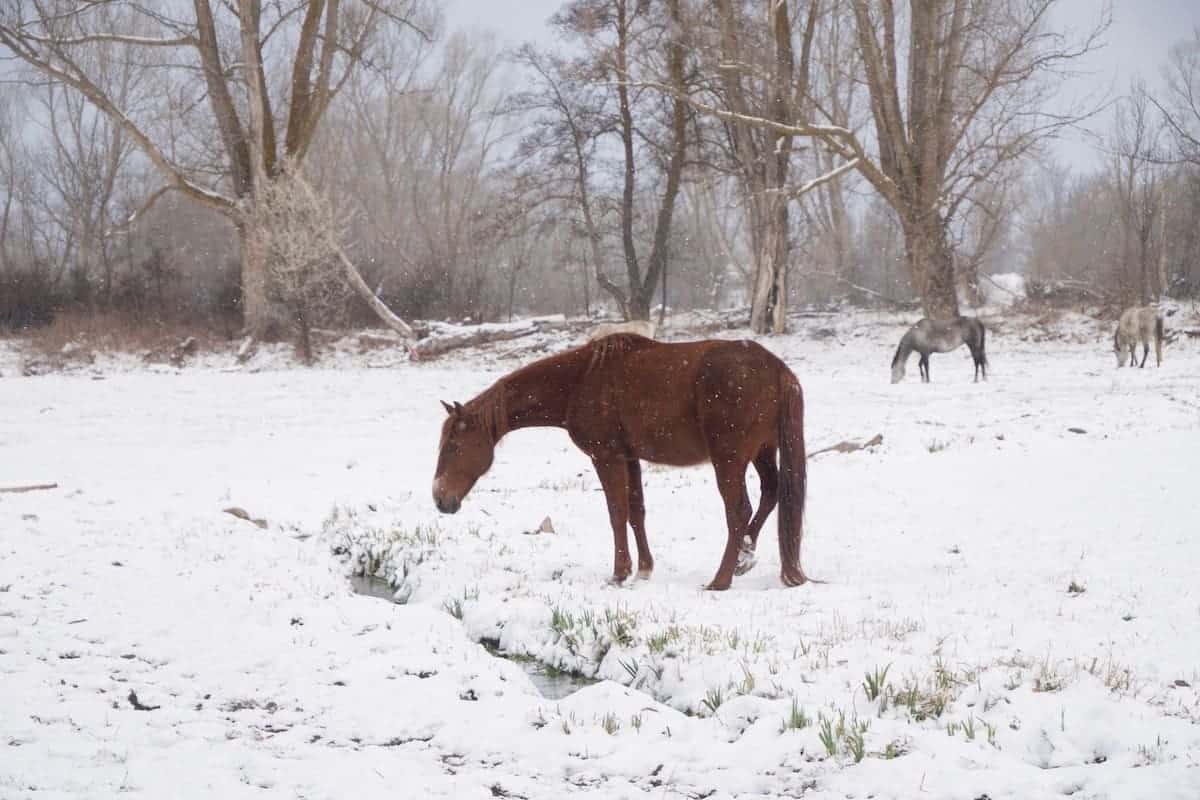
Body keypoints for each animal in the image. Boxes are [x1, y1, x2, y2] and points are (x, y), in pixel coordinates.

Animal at [427, 335, 811, 592]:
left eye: (454, 446)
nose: (440, 499)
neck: (581, 379)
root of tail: (777, 368)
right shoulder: (630, 458)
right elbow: (636, 511)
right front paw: (644, 568)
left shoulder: (606, 456)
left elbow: (616, 512)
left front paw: (619, 573)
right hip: (763, 451)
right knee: (770, 494)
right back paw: (746, 555)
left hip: (729, 459)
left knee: (738, 510)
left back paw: (721, 579)